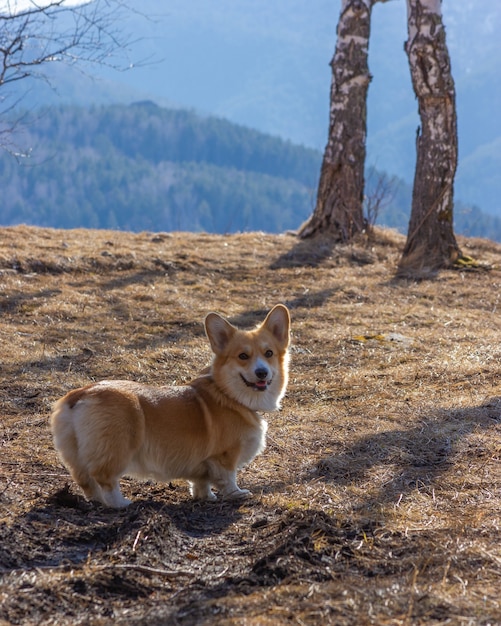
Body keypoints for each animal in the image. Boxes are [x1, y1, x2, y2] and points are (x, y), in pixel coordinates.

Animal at [49, 304, 290, 508]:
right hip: (116, 449)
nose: (262, 373)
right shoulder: (224, 457)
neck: (230, 395)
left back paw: (97, 502)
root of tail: (80, 395)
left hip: (75, 454)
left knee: (86, 482)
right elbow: (228, 478)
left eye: (269, 353)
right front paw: (236, 494)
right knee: (105, 479)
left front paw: (206, 497)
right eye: (243, 356)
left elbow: (201, 483)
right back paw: (121, 504)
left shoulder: (202, 466)